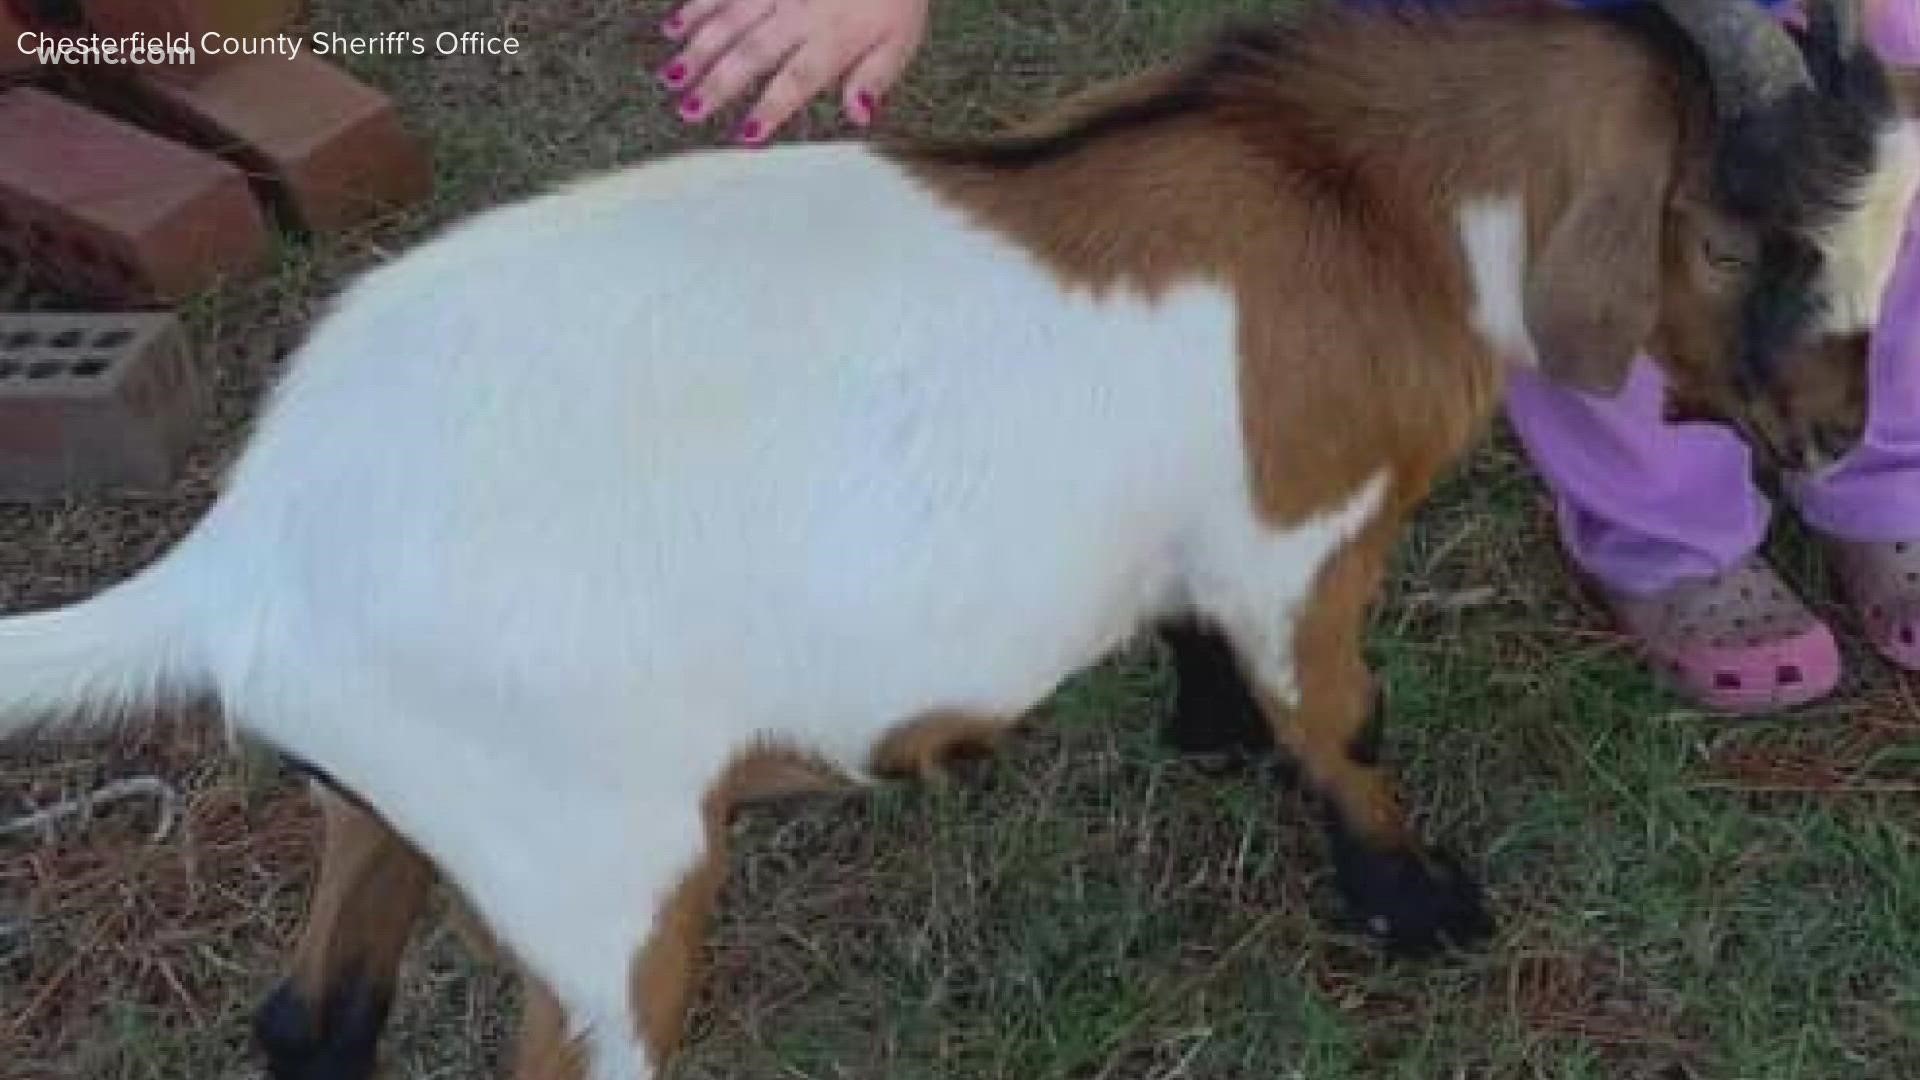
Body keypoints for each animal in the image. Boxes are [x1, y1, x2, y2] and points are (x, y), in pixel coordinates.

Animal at [3, 2, 1920, 1076]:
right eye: (1750, 234)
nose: (1838, 431)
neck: (1349, 189)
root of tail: (251, 546)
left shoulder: (1202, 543)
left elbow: (1200, 648)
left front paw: (1208, 738)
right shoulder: (1303, 543)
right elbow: (1343, 722)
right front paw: (1418, 905)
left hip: (391, 803)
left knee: (312, 1026)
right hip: (599, 877)